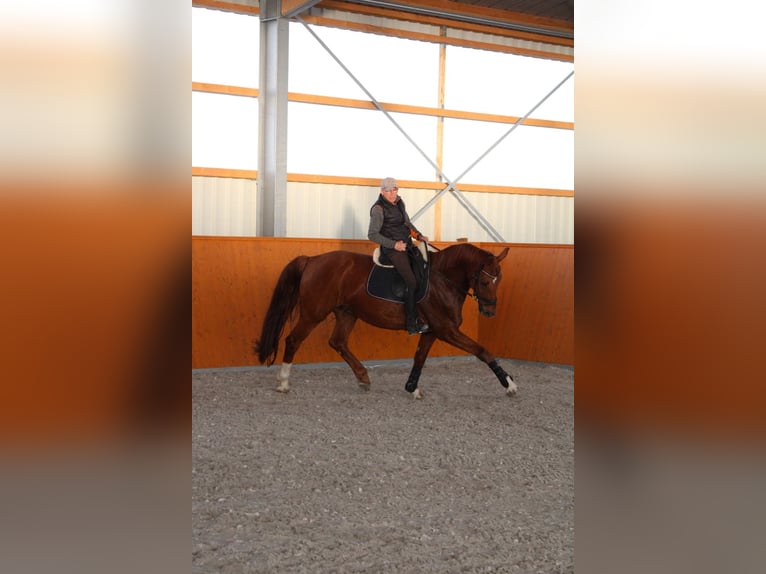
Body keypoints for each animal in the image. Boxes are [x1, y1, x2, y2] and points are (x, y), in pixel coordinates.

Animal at [254, 242, 517, 399]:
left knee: (338, 342)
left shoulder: (431, 331)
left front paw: (412, 388)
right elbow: (483, 351)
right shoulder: (446, 330)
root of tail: (312, 260)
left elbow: (419, 358)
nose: (489, 311)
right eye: (485, 281)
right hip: (313, 313)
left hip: (347, 313)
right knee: (293, 340)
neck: (442, 280)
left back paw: (363, 378)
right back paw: (283, 383)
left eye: (500, 280)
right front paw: (509, 384)